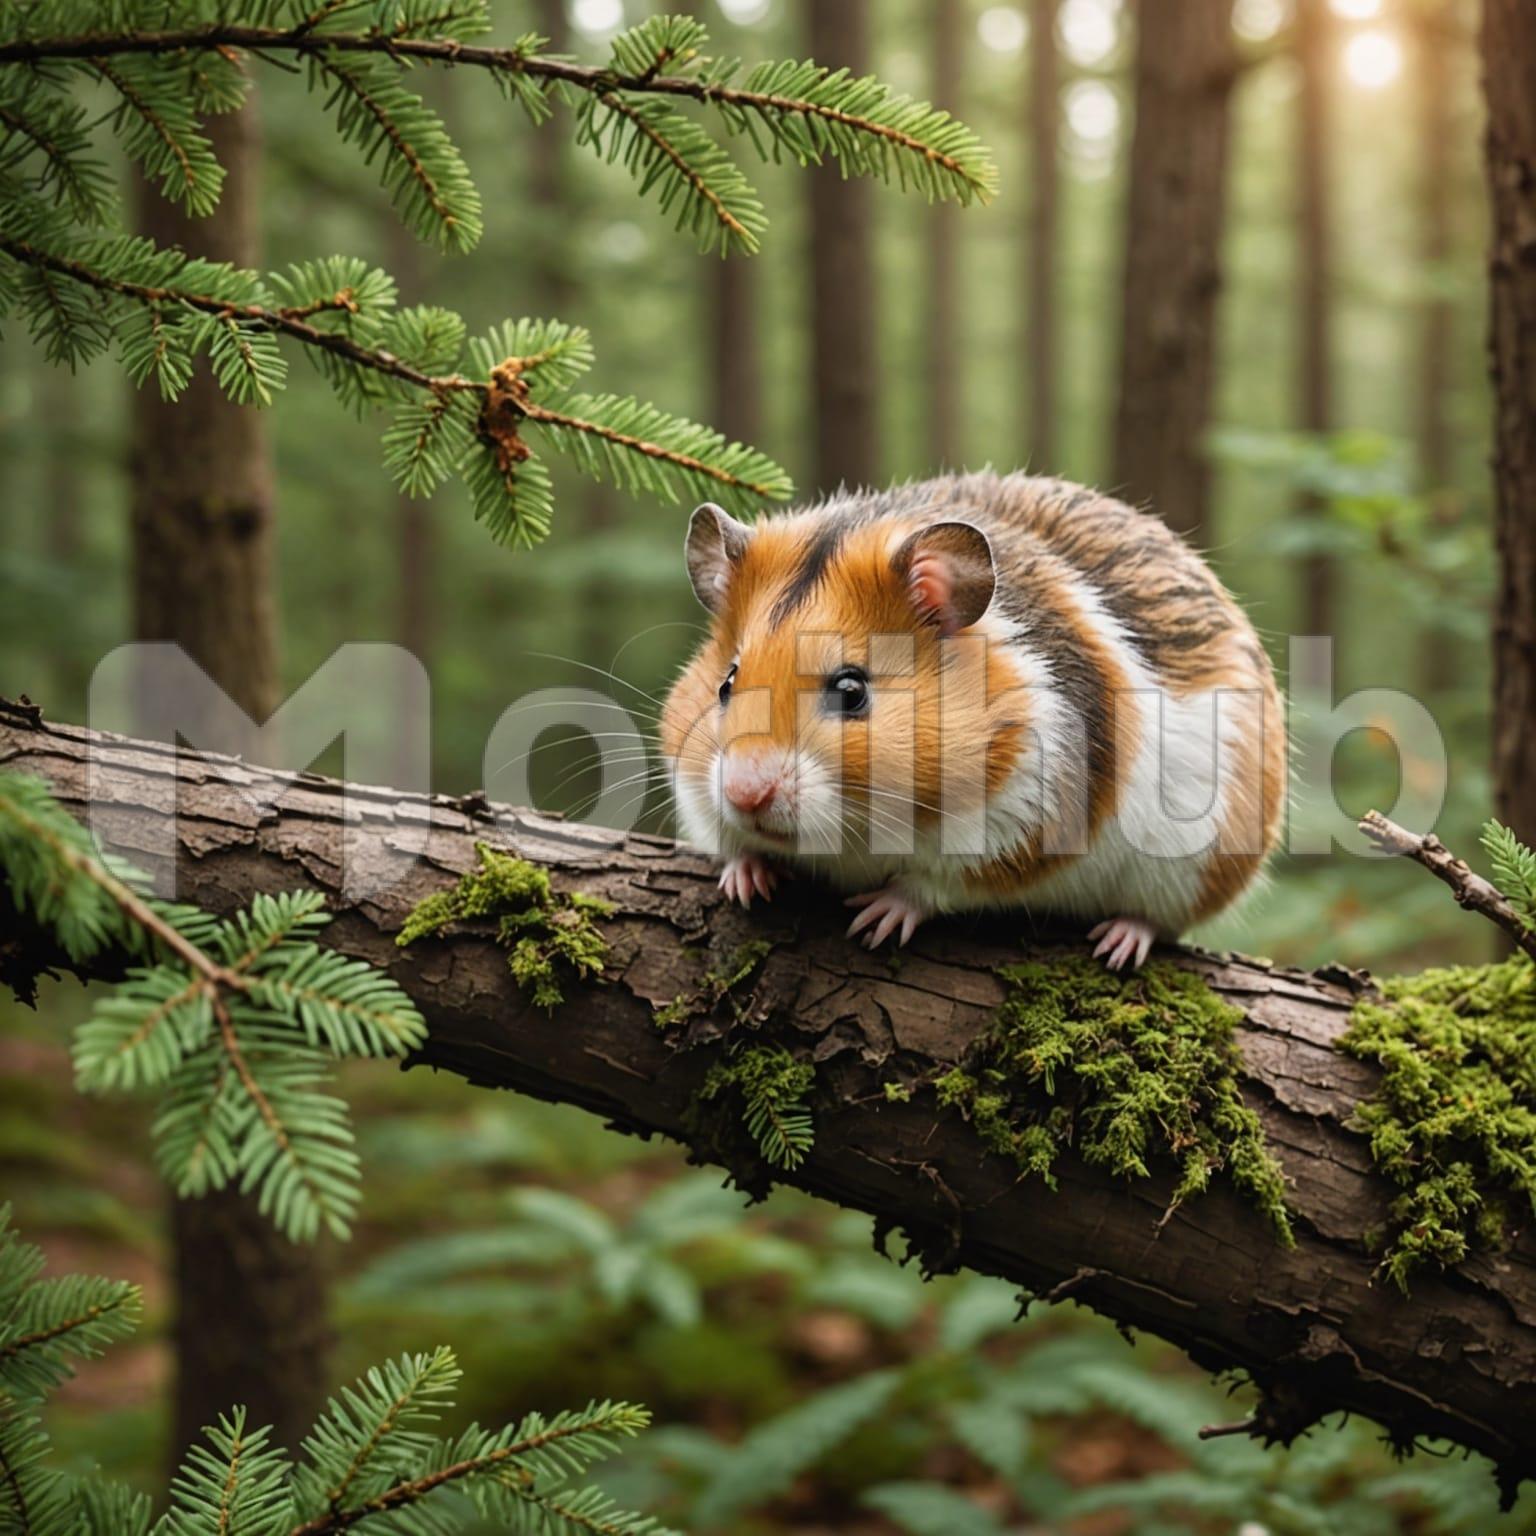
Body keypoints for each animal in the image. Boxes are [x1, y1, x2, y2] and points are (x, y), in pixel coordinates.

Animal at [660, 472, 1286, 970]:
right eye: (726, 683)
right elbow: (729, 842)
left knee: (1161, 921)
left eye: (851, 690)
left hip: (1198, 864)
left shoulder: (1021, 827)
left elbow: (936, 884)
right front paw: (745, 882)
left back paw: (1117, 945)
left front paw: (874, 919)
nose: (745, 793)